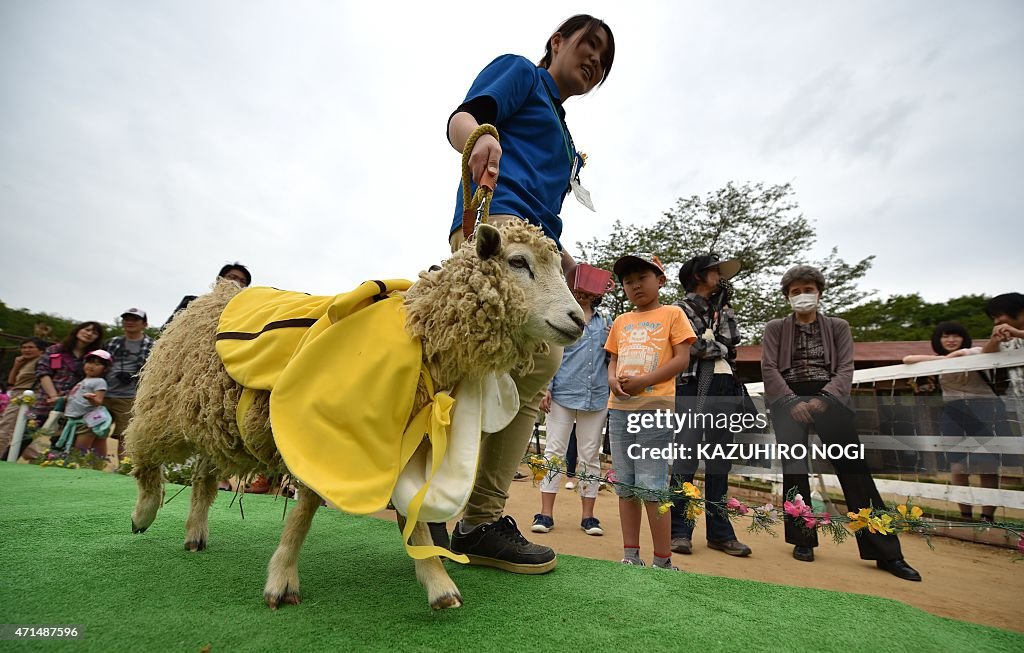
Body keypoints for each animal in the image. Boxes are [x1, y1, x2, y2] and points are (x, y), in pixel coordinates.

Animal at [123, 221, 585, 614]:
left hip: (214, 420)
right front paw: (282, 579)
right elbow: (306, 508)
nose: (579, 320)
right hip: (163, 407)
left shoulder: (406, 440)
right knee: (144, 457)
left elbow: (414, 517)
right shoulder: (322, 427)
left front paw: (437, 583)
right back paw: (144, 513)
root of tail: (217, 292)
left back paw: (195, 533)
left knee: (202, 474)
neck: (421, 331)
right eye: (518, 262)